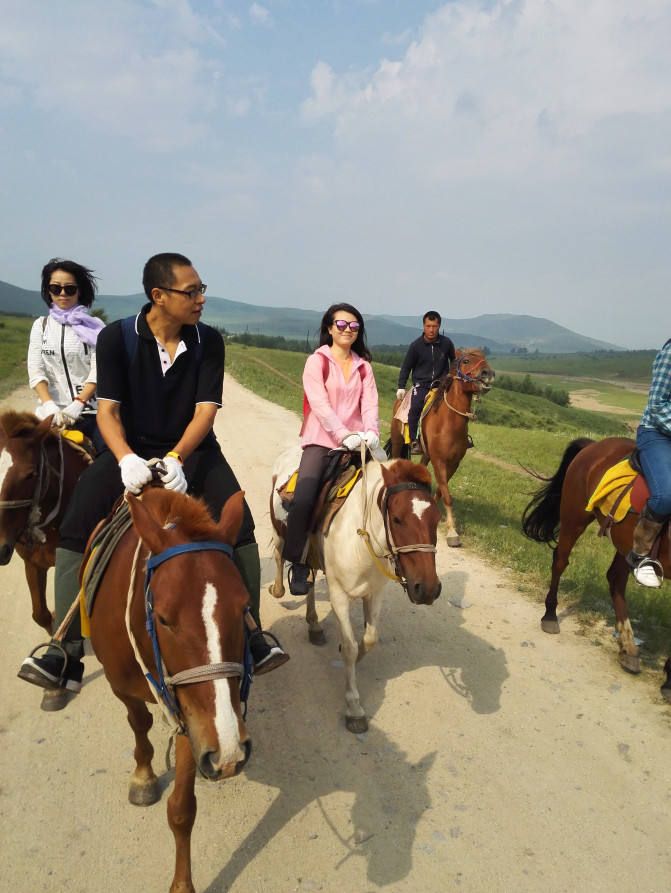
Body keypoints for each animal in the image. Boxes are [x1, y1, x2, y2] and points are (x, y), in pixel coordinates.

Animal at [90, 488, 253, 892]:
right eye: (163, 618)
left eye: (245, 606)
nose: (231, 750)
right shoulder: (126, 689)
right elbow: (138, 723)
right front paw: (143, 774)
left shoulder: (193, 717)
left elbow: (181, 809)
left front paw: (182, 883)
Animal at [270, 446, 444, 732]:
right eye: (397, 519)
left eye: (437, 520)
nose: (427, 589)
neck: (362, 538)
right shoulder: (339, 594)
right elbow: (351, 646)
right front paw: (354, 707)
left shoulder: (375, 593)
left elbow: (369, 639)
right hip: (281, 534)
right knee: (278, 555)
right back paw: (277, 589)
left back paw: (314, 625)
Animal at [388, 346, 494, 544]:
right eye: (466, 360)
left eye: (485, 358)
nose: (488, 374)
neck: (449, 422)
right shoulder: (439, 461)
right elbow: (447, 494)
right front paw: (452, 532)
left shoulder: (453, 463)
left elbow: (441, 492)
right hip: (398, 440)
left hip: (426, 453)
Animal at [524, 436, 671, 700]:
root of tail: (595, 445)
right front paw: (668, 681)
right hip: (574, 517)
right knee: (560, 561)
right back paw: (550, 615)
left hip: (626, 544)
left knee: (615, 579)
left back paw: (628, 646)